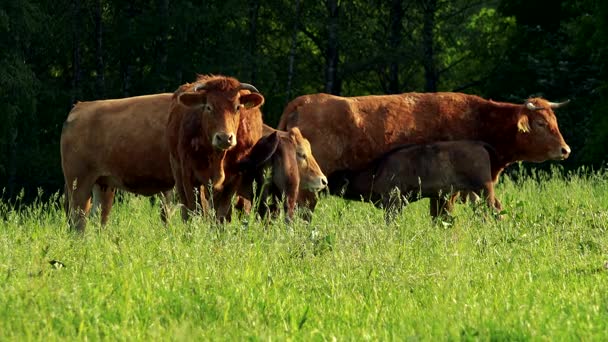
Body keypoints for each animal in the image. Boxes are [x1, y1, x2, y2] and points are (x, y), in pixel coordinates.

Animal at [166, 74, 264, 222]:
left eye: (237, 107)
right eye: (208, 107)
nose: (224, 138)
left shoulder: (233, 180)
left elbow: (222, 212)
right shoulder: (188, 175)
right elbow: (194, 209)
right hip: (177, 170)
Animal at [328, 141, 504, 222]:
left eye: (335, 178)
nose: (325, 183)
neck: (376, 171)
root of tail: (479, 144)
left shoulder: (392, 202)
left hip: (484, 188)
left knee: (495, 208)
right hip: (476, 191)